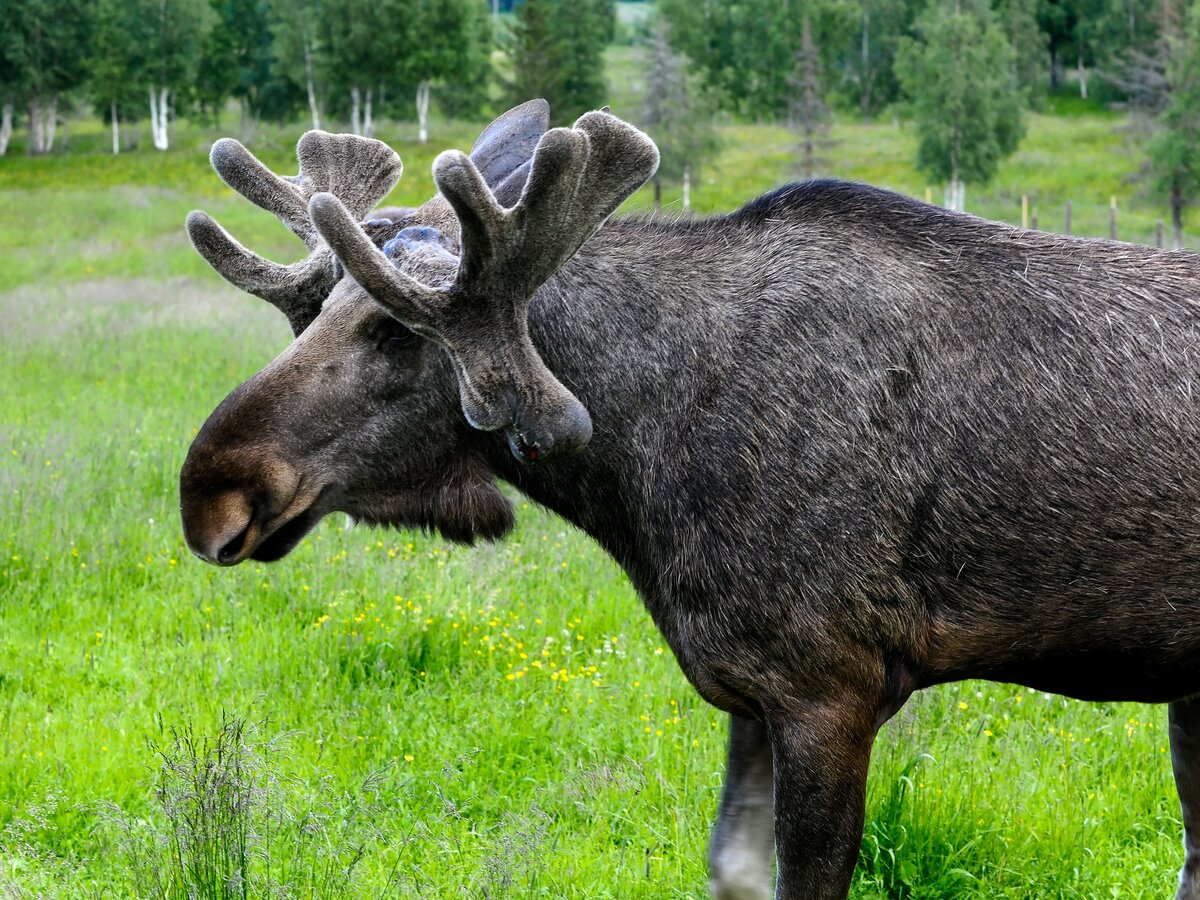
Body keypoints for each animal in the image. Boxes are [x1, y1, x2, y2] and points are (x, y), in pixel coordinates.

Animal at [180, 102, 1200, 897]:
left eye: (397, 332)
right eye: (316, 311)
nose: (210, 491)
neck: (642, 474)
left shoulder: (832, 690)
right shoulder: (750, 688)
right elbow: (729, 871)